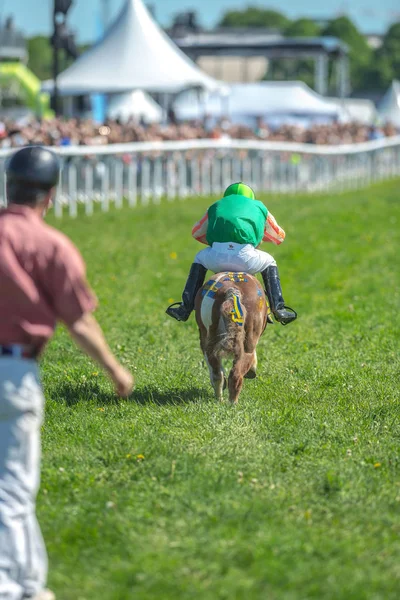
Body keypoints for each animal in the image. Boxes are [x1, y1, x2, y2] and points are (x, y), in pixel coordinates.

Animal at [195, 274, 268, 406]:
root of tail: (233, 290)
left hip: (208, 340)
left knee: (217, 374)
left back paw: (220, 400)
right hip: (247, 344)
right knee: (236, 374)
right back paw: (232, 403)